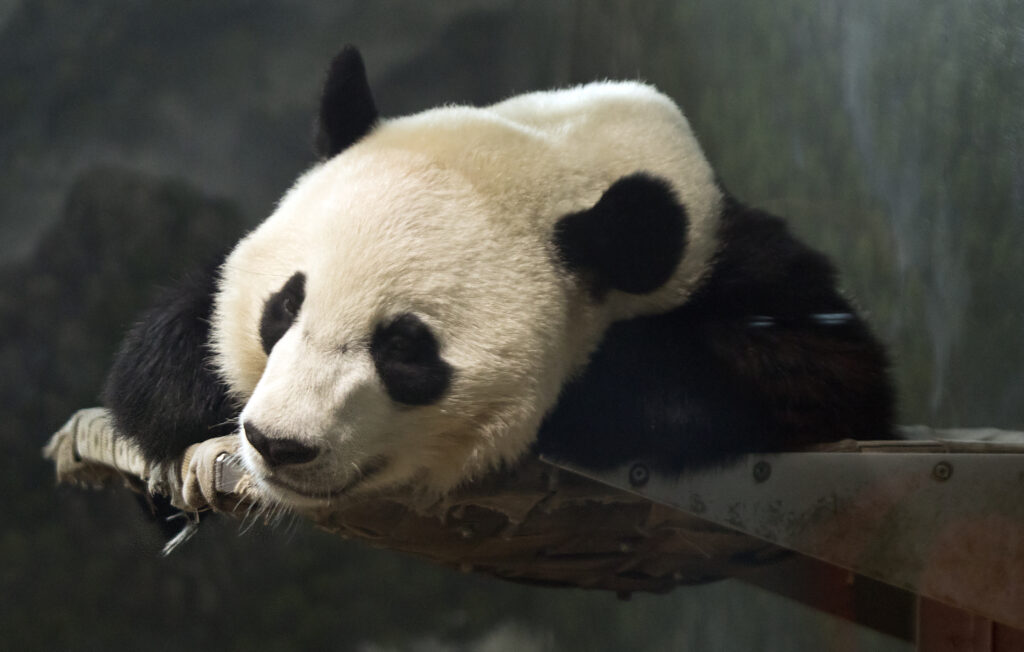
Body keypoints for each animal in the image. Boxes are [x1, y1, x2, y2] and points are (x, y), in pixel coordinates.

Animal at [104, 46, 894, 507]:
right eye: (283, 308)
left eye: (404, 348)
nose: (279, 442)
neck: (573, 155)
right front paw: (179, 385)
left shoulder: (739, 265)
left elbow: (824, 369)